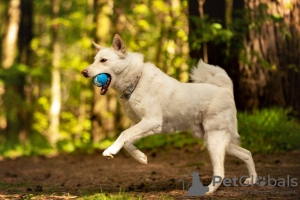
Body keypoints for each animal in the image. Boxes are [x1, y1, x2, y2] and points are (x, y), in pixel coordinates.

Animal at [82, 34, 258, 194]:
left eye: (103, 60)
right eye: (94, 59)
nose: (83, 72)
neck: (136, 81)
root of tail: (225, 89)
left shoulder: (151, 121)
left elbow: (123, 135)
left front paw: (110, 150)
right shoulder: (144, 124)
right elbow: (127, 142)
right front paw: (141, 157)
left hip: (215, 139)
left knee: (220, 171)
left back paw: (209, 190)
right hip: (211, 139)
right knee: (247, 153)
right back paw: (252, 180)